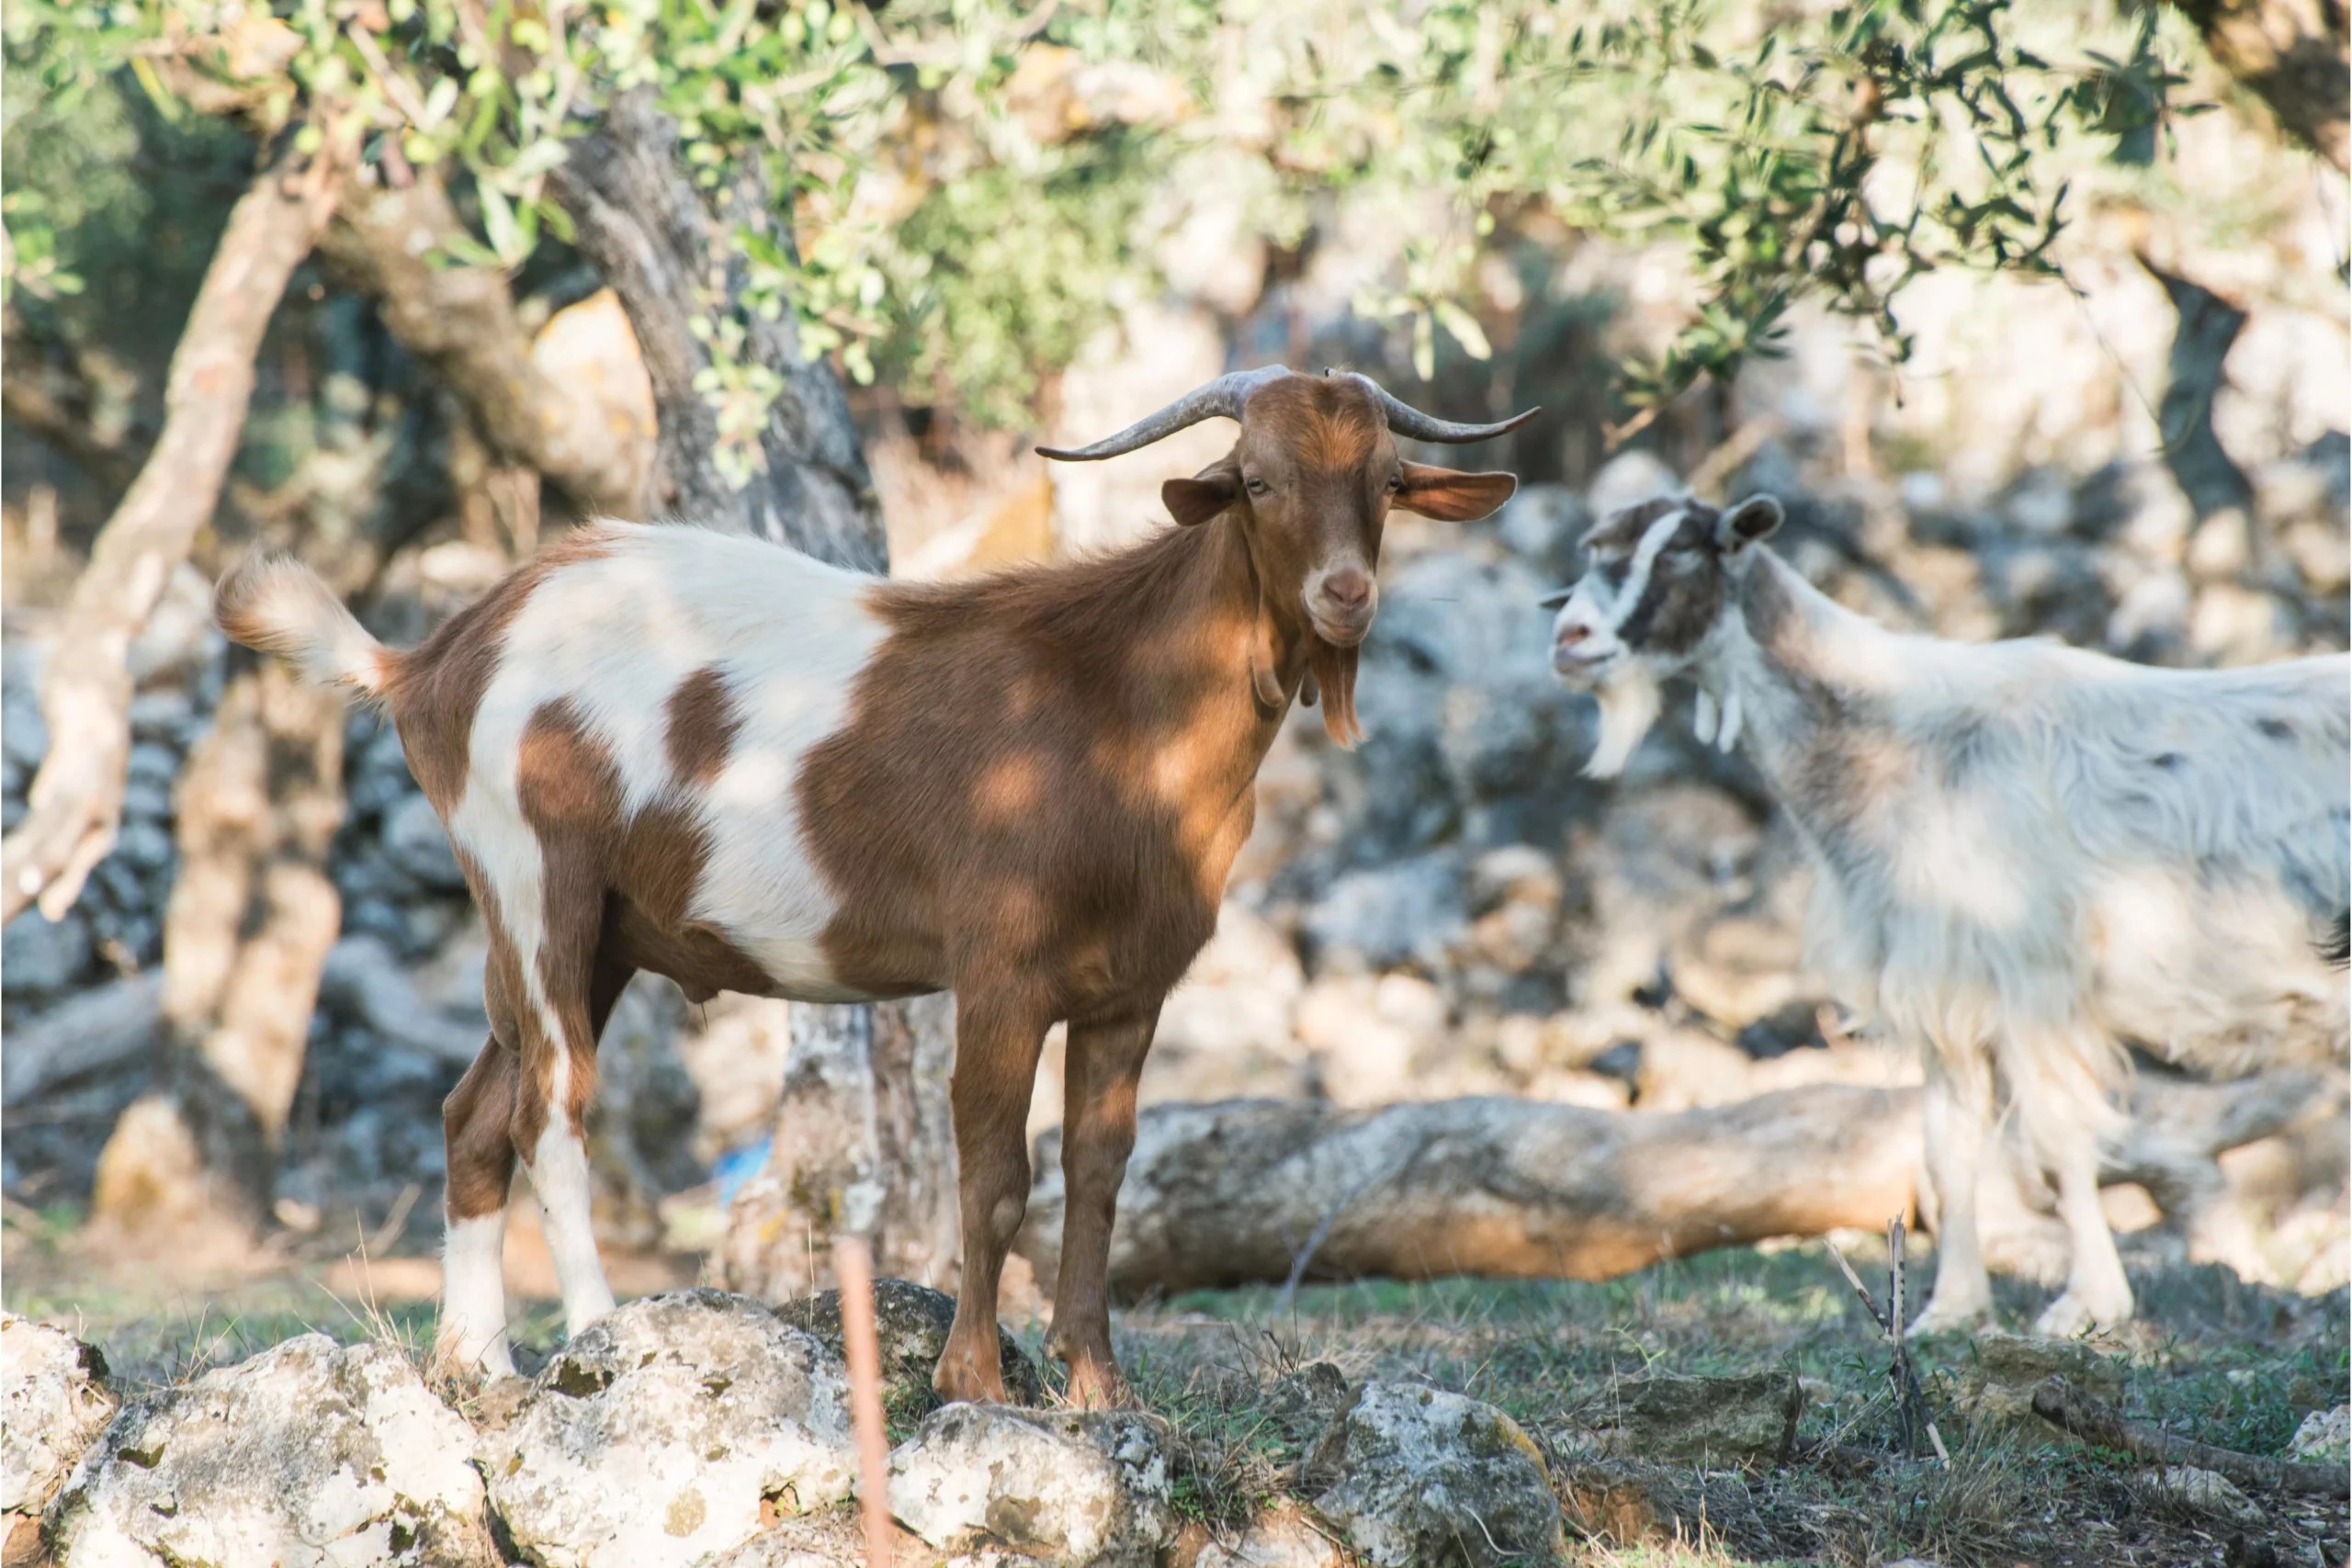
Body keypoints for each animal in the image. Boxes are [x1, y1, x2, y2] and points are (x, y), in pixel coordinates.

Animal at [217, 367, 1530, 1403]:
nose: (1345, 596)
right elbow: (994, 1176)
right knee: (553, 1104)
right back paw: (592, 1333)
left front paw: (1097, 1388)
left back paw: (474, 1359)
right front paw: (974, 1380)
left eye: (1387, 480)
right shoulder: (999, 968)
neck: (1117, 707)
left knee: (473, 1110)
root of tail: (431, 659)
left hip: (599, 936)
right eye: (1254, 478)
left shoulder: (1131, 988)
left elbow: (1100, 1176)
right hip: (536, 882)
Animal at [1544, 493, 2349, 1336]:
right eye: (1596, 549)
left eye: (1679, 554)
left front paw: (2087, 1303)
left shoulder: (2032, 976)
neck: (1903, 742)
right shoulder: (1942, 988)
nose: (1571, 640)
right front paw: (1949, 1308)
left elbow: (2057, 1139)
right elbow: (1946, 1149)